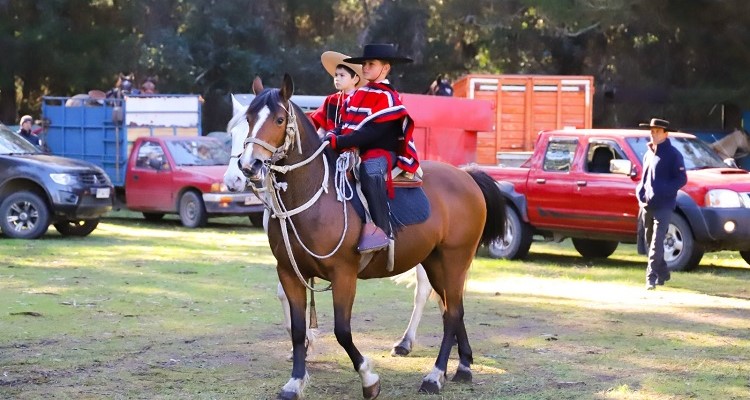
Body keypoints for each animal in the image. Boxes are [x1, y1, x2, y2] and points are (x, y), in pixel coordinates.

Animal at [226, 94, 444, 360]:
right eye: (233, 132)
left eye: (278, 121)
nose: (237, 176)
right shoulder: (292, 258)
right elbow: (284, 294)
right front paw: (301, 344)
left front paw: (306, 342)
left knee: (423, 291)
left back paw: (405, 342)